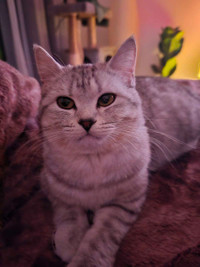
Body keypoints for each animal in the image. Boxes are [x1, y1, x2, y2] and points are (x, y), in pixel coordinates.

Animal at [33, 36, 151, 267]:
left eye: (106, 99)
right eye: (64, 103)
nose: (86, 122)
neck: (92, 163)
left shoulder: (123, 204)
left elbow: (100, 237)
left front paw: (86, 258)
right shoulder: (50, 184)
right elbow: (68, 209)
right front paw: (69, 239)